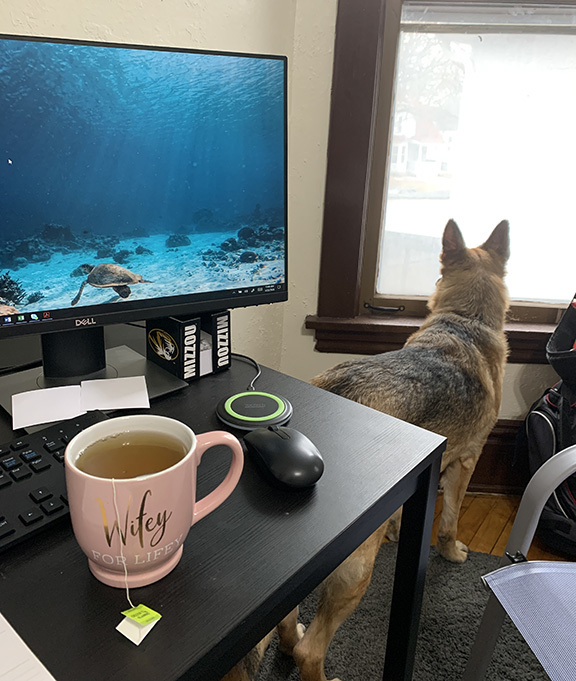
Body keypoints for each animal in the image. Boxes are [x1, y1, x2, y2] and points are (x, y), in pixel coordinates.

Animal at [223, 219, 510, 680]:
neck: (465, 320)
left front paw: (398, 529)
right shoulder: (466, 460)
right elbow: (449, 521)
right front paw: (452, 552)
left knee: (289, 624)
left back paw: (286, 642)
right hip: (356, 572)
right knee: (312, 651)